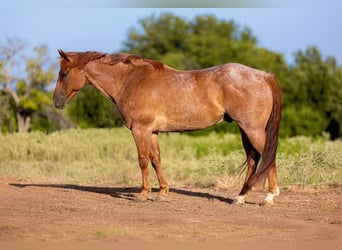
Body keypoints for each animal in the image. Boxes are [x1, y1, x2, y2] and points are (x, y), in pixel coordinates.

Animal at [53, 49, 282, 205]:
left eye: (63, 73)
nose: (56, 102)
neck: (130, 80)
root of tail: (264, 75)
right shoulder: (152, 132)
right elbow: (156, 160)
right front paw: (163, 192)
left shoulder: (140, 130)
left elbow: (143, 160)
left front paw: (143, 193)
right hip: (245, 130)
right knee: (253, 159)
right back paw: (240, 197)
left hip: (252, 130)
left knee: (268, 156)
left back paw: (269, 197)